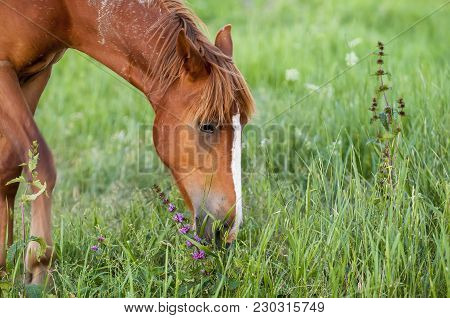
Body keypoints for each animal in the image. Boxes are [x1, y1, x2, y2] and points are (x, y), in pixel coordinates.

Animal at [0, 0, 253, 284]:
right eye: (207, 125)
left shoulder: (37, 74)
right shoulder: (4, 70)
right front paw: (39, 268)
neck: (64, 9)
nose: (227, 228)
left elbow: (9, 170)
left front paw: (3, 270)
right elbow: (42, 166)